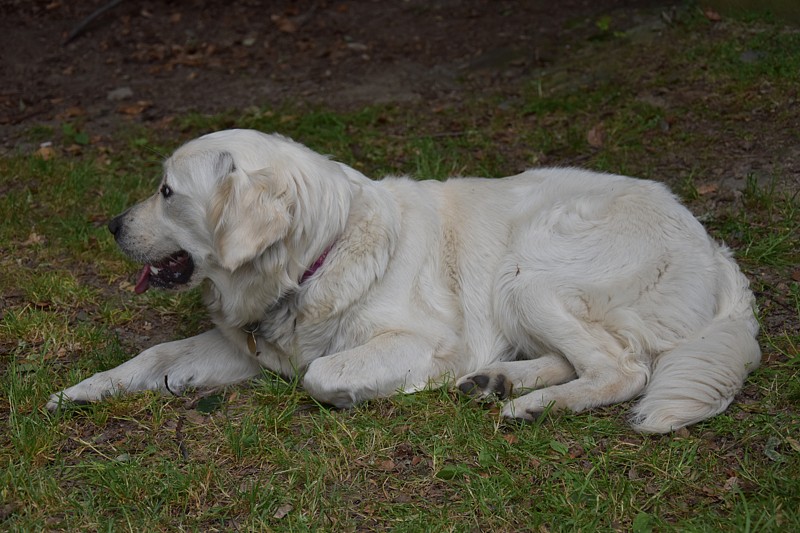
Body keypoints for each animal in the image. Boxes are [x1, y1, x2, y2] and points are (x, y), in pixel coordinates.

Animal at [45, 129, 764, 432]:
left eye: (167, 192)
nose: (111, 225)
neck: (315, 260)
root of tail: (712, 246)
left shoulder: (424, 337)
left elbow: (322, 374)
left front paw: (404, 387)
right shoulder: (242, 349)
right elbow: (154, 357)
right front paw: (80, 392)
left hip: (527, 269)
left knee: (624, 369)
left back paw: (528, 402)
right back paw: (502, 381)